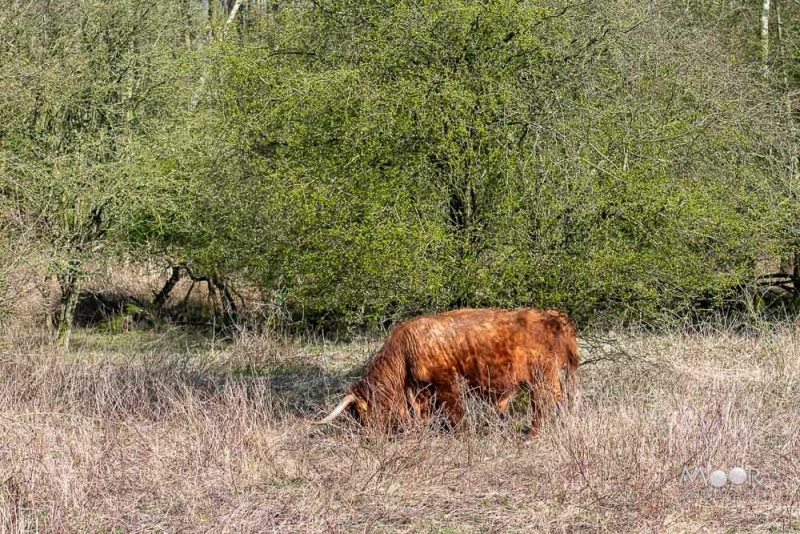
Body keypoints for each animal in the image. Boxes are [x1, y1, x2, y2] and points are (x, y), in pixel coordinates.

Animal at [314, 308, 580, 438]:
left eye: (360, 412)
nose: (368, 436)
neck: (404, 351)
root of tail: (556, 317)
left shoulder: (446, 381)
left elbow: (456, 412)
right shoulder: (421, 390)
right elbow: (424, 413)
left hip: (543, 378)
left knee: (543, 405)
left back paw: (530, 435)